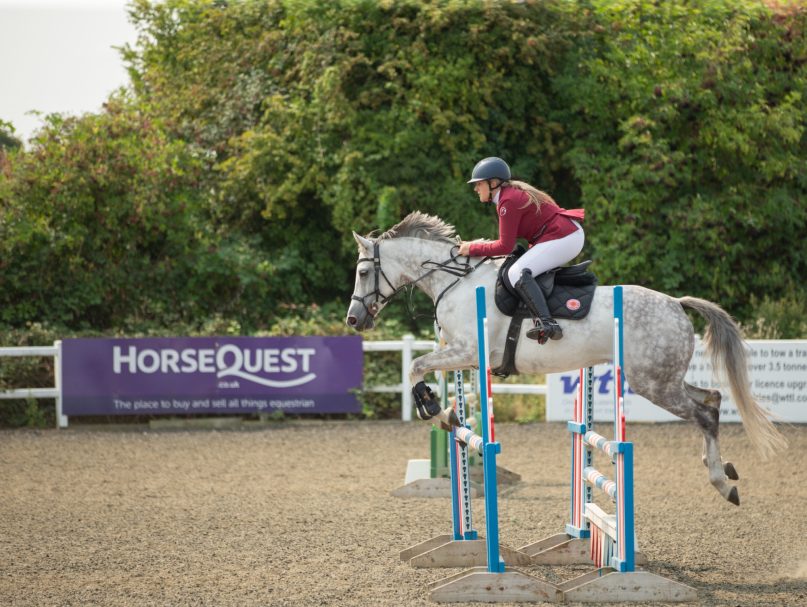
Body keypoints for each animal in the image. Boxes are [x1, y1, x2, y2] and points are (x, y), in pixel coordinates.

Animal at [344, 211, 784, 506]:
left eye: (363, 272)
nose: (353, 319)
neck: (455, 282)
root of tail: (676, 303)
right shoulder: (465, 359)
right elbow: (430, 374)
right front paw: (448, 413)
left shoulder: (466, 351)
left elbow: (416, 366)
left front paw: (435, 409)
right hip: (662, 378)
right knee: (712, 398)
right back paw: (723, 467)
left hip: (653, 382)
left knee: (704, 414)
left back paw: (723, 483)